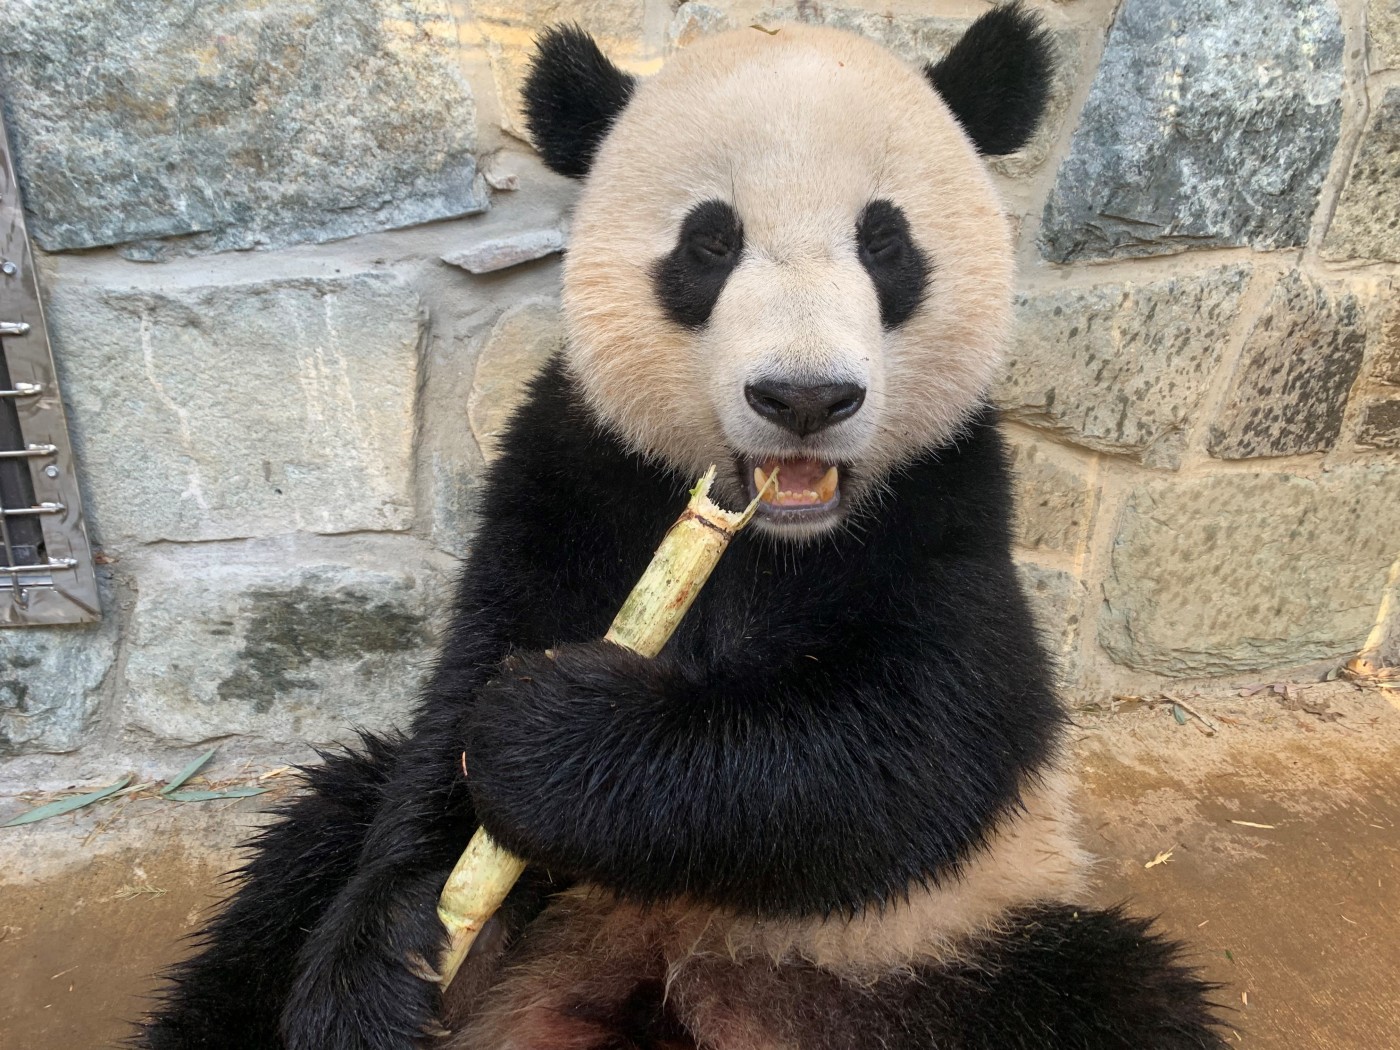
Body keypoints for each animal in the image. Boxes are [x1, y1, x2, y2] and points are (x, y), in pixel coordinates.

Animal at [139, 8, 1226, 1050]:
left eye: (884, 242)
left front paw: (548, 731)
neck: (766, 528)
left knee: (1114, 995)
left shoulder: (945, 494)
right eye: (710, 243)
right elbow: (460, 697)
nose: (804, 397)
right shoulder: (577, 465)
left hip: (939, 951)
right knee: (314, 841)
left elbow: (925, 734)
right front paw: (385, 962)